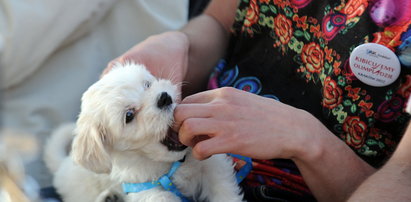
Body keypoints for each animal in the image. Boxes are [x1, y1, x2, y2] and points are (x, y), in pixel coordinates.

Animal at [44, 63, 245, 202]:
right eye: (129, 115)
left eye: (147, 84)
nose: (164, 98)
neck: (167, 167)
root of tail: (63, 164)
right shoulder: (145, 190)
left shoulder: (211, 165)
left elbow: (223, 188)